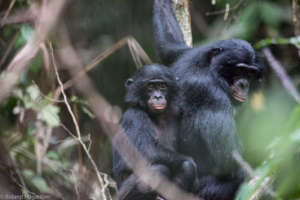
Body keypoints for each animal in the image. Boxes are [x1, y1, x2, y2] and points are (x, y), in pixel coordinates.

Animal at [112, 64, 197, 200]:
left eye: (162, 86)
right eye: (150, 87)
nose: (157, 96)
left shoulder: (178, 110)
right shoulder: (134, 116)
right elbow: (147, 150)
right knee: (159, 169)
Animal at [154, 0, 264, 199]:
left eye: (250, 73)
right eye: (240, 70)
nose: (244, 84)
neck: (209, 68)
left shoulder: (184, 53)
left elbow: (168, 46)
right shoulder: (212, 96)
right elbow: (228, 158)